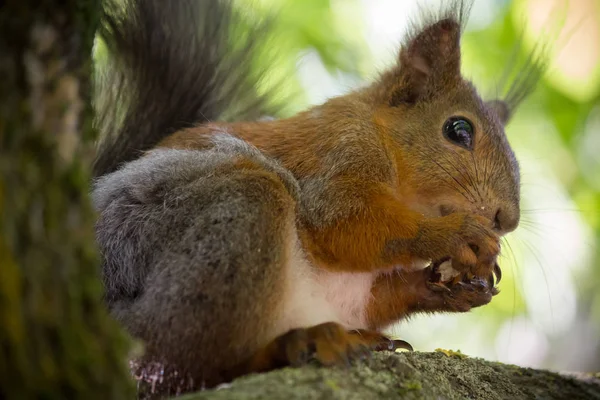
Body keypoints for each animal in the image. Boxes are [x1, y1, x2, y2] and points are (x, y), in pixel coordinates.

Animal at [91, 0, 548, 396]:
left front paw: (450, 287)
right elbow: (343, 225)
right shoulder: (337, 157)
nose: (506, 219)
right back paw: (286, 348)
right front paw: (456, 234)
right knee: (177, 362)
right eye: (458, 130)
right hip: (221, 221)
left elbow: (379, 293)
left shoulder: (354, 289)